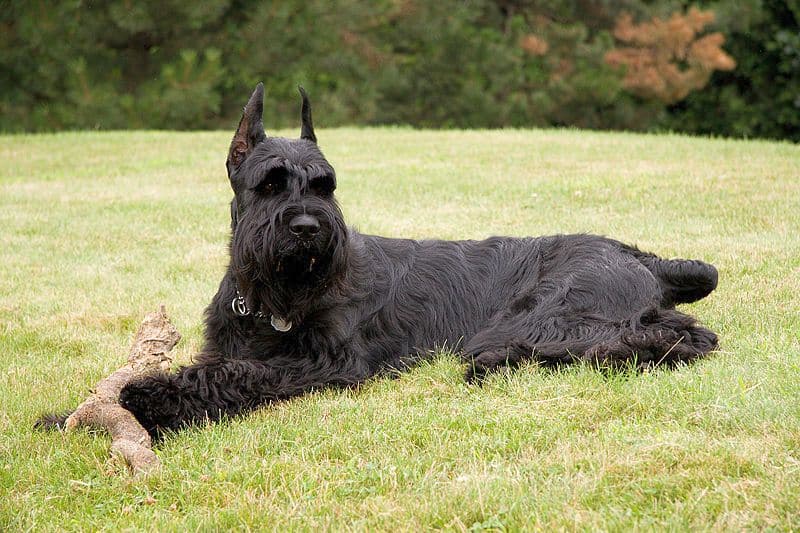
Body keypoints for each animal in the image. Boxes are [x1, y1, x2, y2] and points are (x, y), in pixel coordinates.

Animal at [45, 81, 720, 434]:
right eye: (271, 183)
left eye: (325, 185)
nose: (310, 228)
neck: (271, 299)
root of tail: (639, 255)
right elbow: (213, 365)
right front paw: (67, 414)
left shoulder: (327, 363)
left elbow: (233, 376)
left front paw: (147, 401)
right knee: (681, 331)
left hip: (544, 318)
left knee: (665, 339)